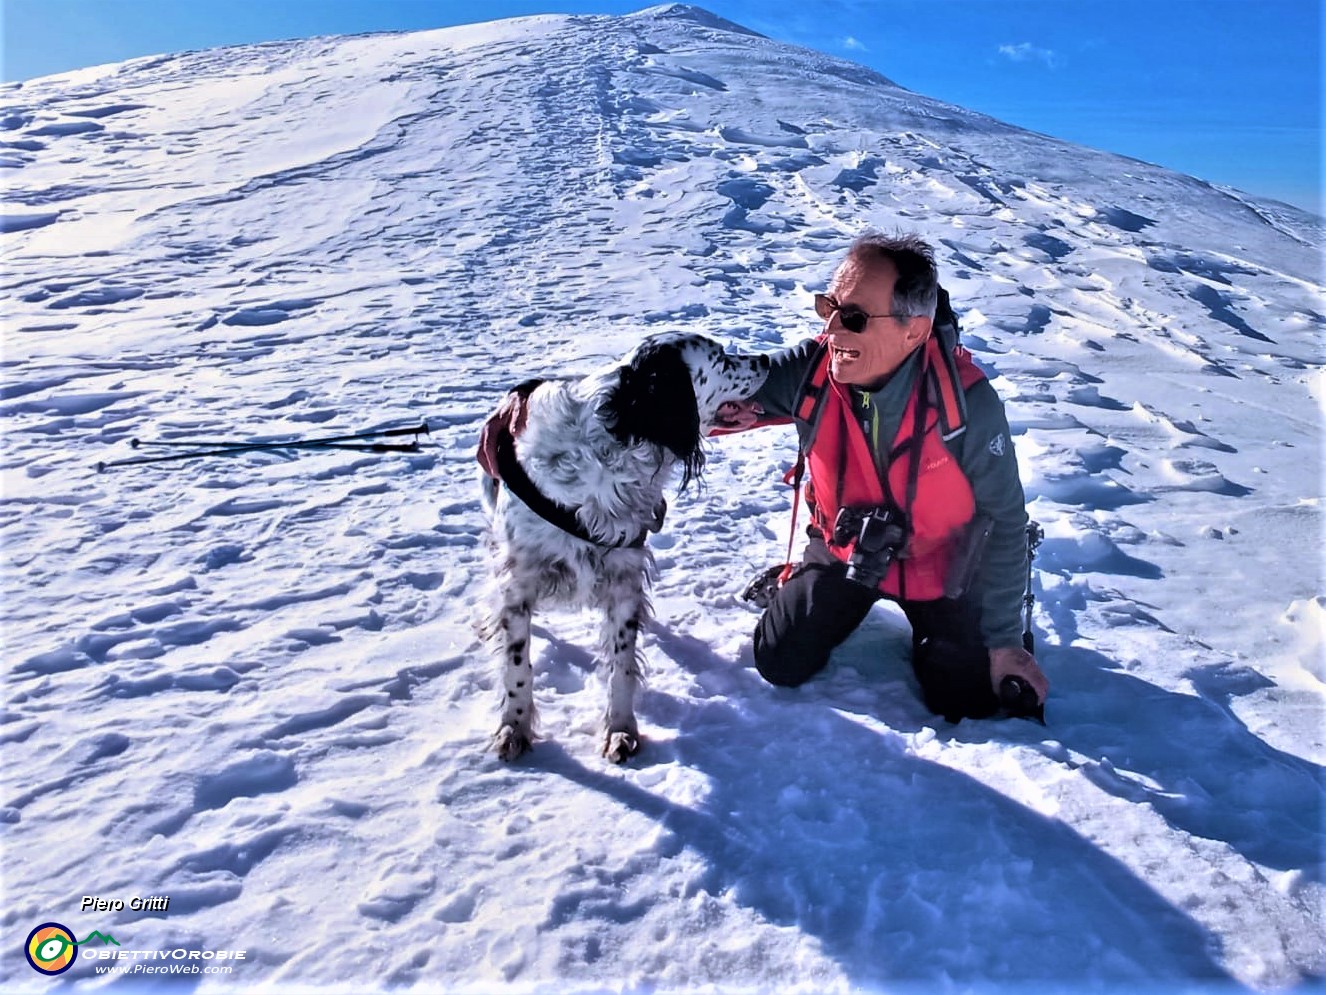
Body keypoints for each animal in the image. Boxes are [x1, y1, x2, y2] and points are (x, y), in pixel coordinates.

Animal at [480, 335, 769, 764]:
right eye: (720, 358)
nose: (766, 358)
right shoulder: (519, 583)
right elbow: (517, 667)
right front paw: (513, 728)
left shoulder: (623, 578)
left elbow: (621, 664)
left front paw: (620, 731)